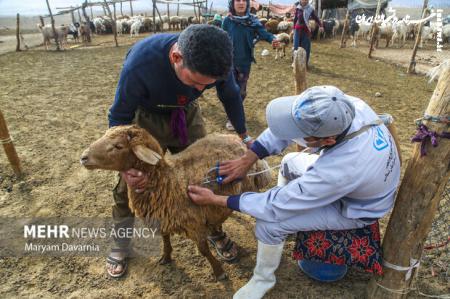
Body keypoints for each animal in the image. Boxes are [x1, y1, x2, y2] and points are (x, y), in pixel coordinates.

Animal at [80, 125, 270, 280]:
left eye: (118, 146)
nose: (83, 157)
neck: (167, 182)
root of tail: (236, 139)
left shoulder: (194, 225)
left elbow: (204, 250)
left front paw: (219, 272)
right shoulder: (162, 218)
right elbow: (165, 239)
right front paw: (166, 257)